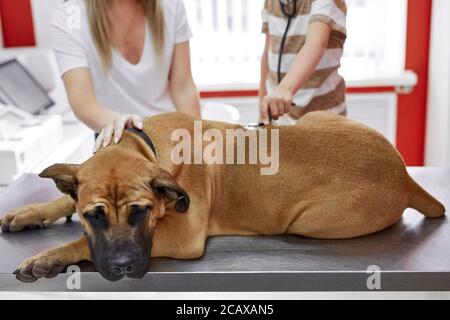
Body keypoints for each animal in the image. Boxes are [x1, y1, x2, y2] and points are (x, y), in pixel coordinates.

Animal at [0, 111, 444, 282]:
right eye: (94, 215)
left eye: (142, 212)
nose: (124, 267)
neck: (145, 147)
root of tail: (405, 176)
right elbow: (65, 199)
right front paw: (30, 212)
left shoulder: (181, 236)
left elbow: (79, 243)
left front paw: (49, 257)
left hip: (308, 221)